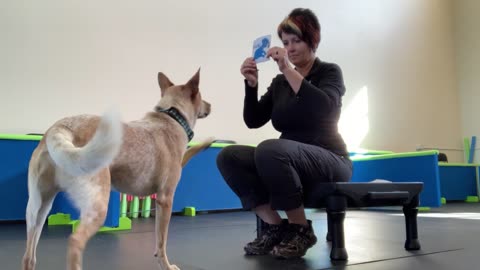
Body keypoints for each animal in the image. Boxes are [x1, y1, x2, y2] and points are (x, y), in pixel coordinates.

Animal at [20, 70, 212, 270]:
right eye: (201, 96)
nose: (211, 105)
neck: (173, 116)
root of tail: (62, 128)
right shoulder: (165, 199)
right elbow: (162, 242)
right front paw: (166, 265)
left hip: (38, 209)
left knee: (28, 256)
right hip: (97, 207)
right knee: (75, 241)